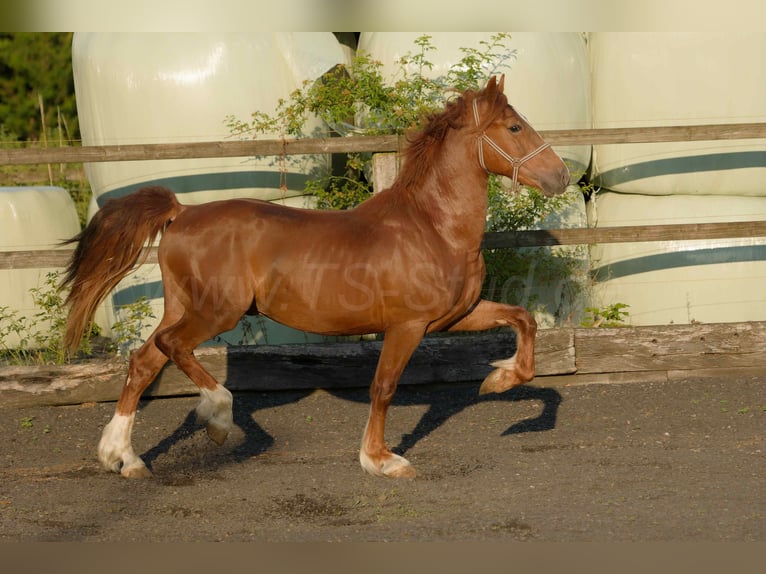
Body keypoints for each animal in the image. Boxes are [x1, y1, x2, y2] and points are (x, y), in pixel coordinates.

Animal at [61, 75, 569, 479]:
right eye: (515, 127)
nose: (561, 177)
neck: (434, 227)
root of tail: (181, 212)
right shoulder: (406, 326)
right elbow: (383, 388)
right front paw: (381, 460)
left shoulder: (454, 317)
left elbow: (524, 320)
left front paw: (499, 381)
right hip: (216, 312)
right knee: (171, 348)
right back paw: (218, 418)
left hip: (185, 306)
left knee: (144, 361)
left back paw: (123, 458)